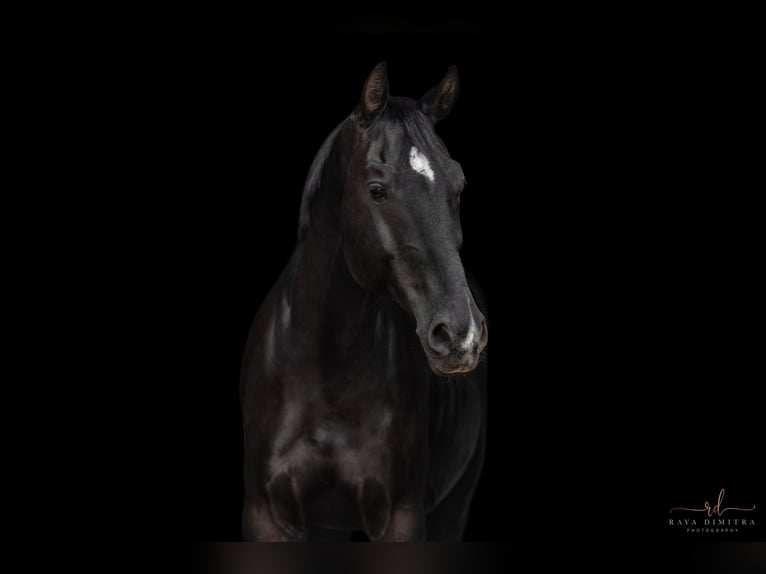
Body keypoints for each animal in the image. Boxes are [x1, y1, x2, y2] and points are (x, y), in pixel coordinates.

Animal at [240, 62, 488, 541]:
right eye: (376, 189)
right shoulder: (266, 515)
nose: (461, 335)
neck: (325, 374)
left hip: (455, 504)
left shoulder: (402, 517)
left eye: (459, 184)